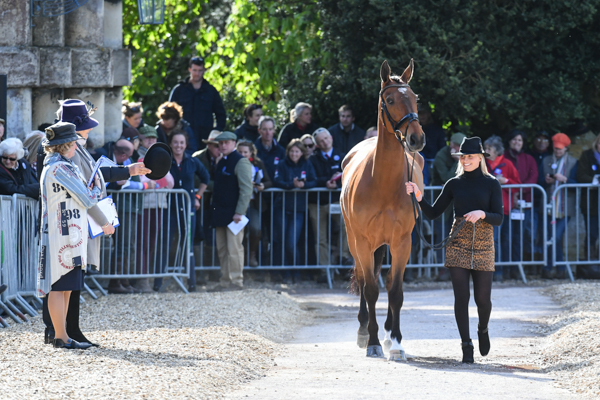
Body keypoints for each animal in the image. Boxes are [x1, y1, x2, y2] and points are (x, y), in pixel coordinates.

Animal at [340, 60, 424, 362]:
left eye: (415, 98)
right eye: (390, 100)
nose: (416, 138)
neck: (383, 181)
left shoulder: (402, 242)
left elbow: (395, 290)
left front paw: (395, 342)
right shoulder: (363, 242)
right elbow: (371, 289)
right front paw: (373, 341)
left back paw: (387, 333)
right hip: (355, 242)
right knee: (364, 280)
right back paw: (365, 331)